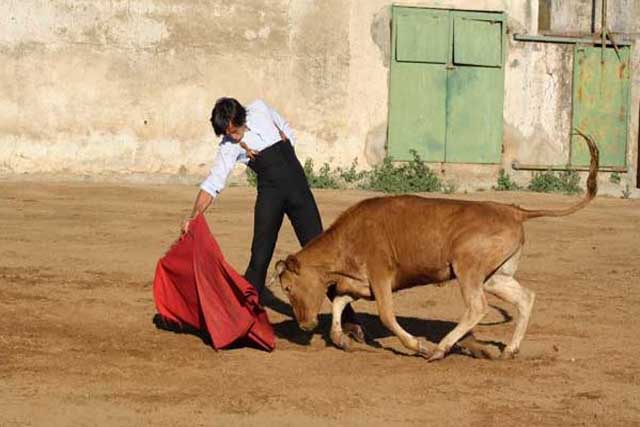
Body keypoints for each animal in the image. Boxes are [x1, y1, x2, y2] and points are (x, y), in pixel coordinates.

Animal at [276, 132, 600, 362]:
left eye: (289, 287)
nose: (304, 326)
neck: (348, 237)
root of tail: (513, 210)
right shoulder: (358, 282)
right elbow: (340, 302)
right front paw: (342, 339)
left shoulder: (381, 276)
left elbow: (386, 316)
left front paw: (418, 346)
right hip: (495, 275)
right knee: (524, 298)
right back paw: (508, 350)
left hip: (468, 268)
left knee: (478, 307)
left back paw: (440, 349)